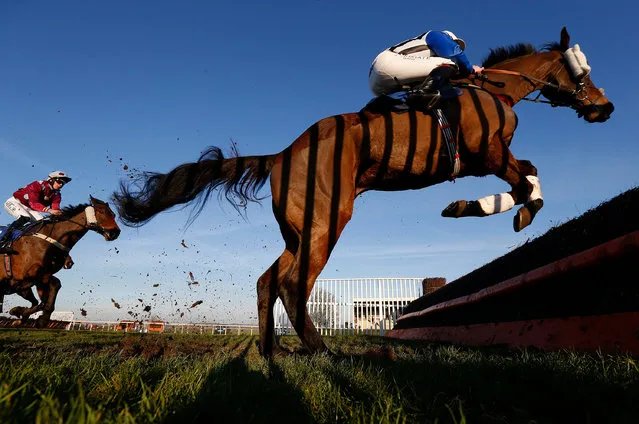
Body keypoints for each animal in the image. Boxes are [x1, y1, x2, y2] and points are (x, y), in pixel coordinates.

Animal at [0, 196, 121, 328]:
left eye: (114, 214)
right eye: (102, 211)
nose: (116, 232)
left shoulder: (40, 278)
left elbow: (51, 290)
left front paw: (34, 317)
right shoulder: (26, 274)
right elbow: (47, 294)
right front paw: (29, 315)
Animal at [114, 28, 616, 356]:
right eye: (583, 73)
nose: (605, 107)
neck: (494, 90)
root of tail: (282, 155)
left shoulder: (490, 159)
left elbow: (528, 173)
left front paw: (493, 207)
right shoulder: (487, 155)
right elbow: (523, 178)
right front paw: (495, 209)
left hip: (299, 230)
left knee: (267, 280)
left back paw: (269, 351)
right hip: (327, 222)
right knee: (293, 284)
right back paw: (320, 349)